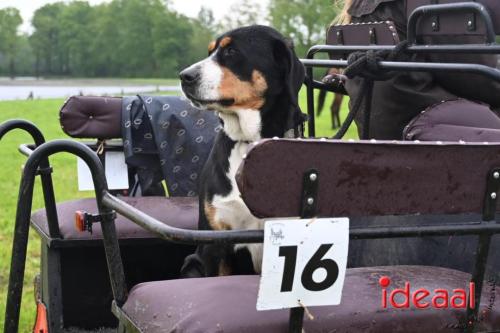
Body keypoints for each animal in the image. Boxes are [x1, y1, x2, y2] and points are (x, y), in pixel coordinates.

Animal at [180, 24, 304, 276]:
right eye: (210, 51)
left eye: (232, 51)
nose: (185, 76)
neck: (250, 142)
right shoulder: (215, 243)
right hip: (192, 263)